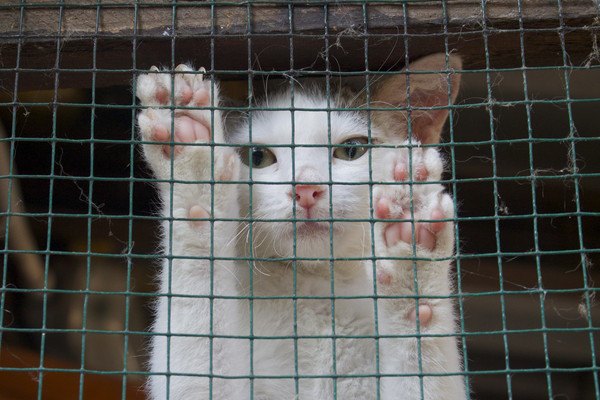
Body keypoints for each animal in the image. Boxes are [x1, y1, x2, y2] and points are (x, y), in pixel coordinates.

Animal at [135, 53, 464, 400]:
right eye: (257, 157)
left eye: (352, 149)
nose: (306, 188)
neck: (316, 291)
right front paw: (191, 150)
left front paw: (412, 265)